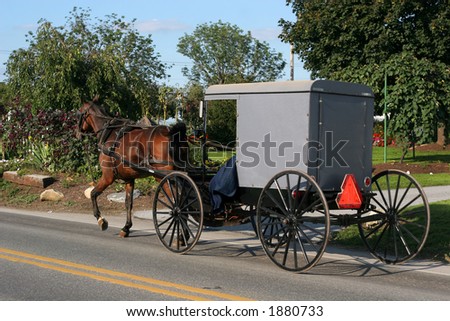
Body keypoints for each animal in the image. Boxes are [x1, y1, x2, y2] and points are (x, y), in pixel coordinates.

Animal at [76, 101, 187, 236]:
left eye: (78, 114)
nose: (76, 133)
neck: (109, 133)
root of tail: (173, 133)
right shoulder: (129, 179)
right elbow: (128, 202)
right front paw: (126, 227)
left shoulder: (108, 177)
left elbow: (93, 194)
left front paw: (101, 220)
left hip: (163, 176)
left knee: (178, 201)